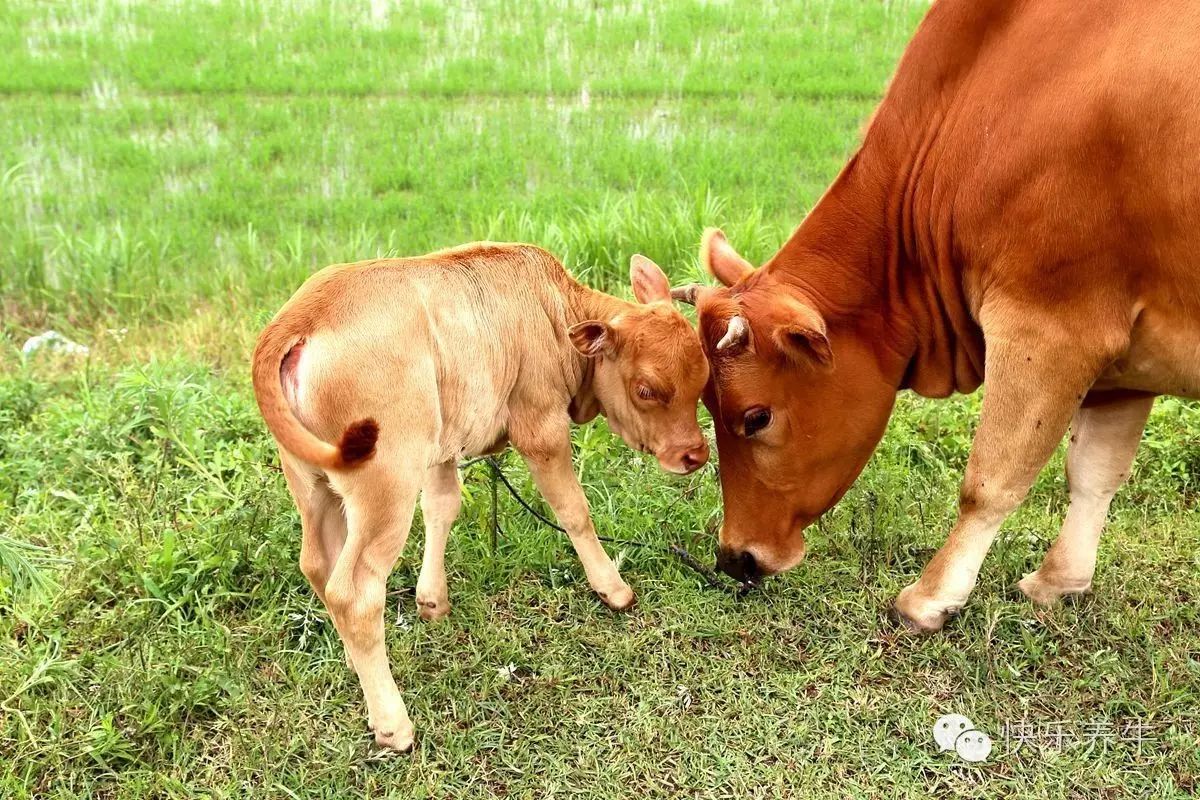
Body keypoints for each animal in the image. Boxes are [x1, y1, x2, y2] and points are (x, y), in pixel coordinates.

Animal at [248, 242, 705, 753]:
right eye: (647, 389)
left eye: (703, 380)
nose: (695, 454)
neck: (555, 310)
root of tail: (301, 315)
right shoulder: (541, 428)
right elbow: (574, 511)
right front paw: (612, 589)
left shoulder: (443, 447)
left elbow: (442, 507)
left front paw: (432, 600)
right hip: (386, 482)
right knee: (354, 592)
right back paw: (392, 723)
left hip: (313, 484)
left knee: (318, 565)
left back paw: (357, 664)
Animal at [676, 0, 1200, 633]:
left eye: (755, 416)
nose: (734, 556)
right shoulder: (1123, 363)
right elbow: (1095, 472)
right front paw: (1059, 582)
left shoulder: (1050, 325)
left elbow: (991, 479)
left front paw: (930, 597)